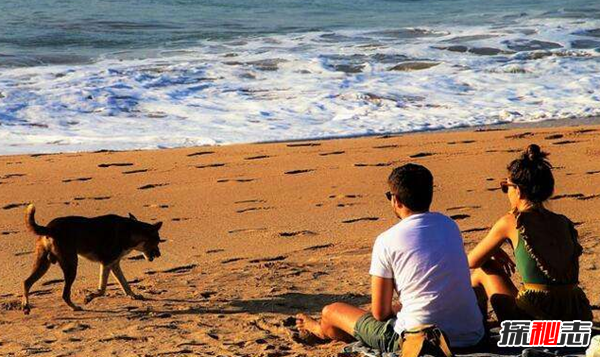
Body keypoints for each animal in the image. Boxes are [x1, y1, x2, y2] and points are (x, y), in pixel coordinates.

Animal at [22, 204, 163, 312]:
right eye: (157, 241)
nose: (159, 254)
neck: (131, 230)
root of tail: (50, 228)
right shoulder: (106, 263)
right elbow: (102, 289)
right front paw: (89, 297)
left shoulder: (114, 264)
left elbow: (125, 284)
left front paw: (134, 296)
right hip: (71, 266)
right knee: (65, 294)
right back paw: (75, 307)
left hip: (43, 264)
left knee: (26, 282)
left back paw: (26, 306)